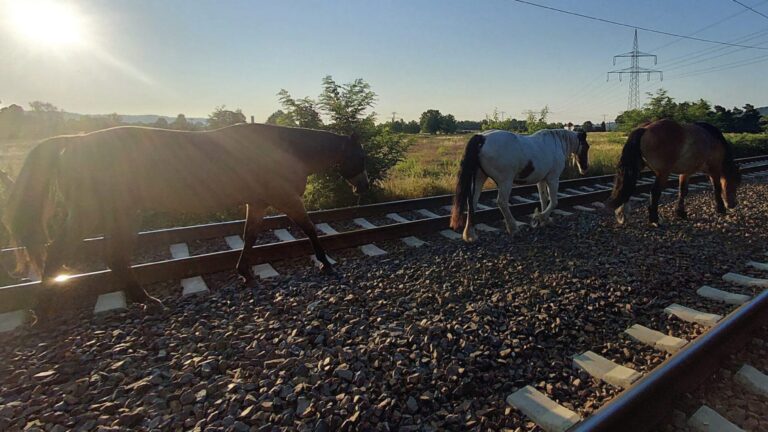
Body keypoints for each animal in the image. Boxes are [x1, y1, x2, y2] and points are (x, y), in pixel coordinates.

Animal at [2, 123, 368, 319]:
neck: (285, 148)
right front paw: (325, 262)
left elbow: (250, 236)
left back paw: (144, 299)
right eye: (360, 154)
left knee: (114, 258)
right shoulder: (285, 199)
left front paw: (245, 272)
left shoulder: (258, 203)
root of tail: (74, 142)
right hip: (93, 214)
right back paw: (42, 309)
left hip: (119, 214)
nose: (363, 186)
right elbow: (309, 228)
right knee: (60, 252)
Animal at [450, 129, 590, 242]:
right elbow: (554, 202)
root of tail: (482, 138)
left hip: (480, 178)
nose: (585, 168)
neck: (556, 144)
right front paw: (539, 217)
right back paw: (514, 228)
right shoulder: (553, 179)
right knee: (502, 202)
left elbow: (544, 199)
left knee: (472, 203)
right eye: (587, 147)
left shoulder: (541, 180)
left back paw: (470, 235)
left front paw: (544, 221)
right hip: (505, 181)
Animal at [605, 119, 741, 226]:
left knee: (626, 187)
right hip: (663, 173)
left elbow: (683, 191)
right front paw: (720, 209)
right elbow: (717, 188)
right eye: (735, 182)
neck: (714, 139)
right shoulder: (715, 169)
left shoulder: (686, 172)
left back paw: (622, 215)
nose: (733, 205)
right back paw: (654, 220)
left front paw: (681, 213)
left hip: (637, 168)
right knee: (655, 192)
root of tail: (645, 128)